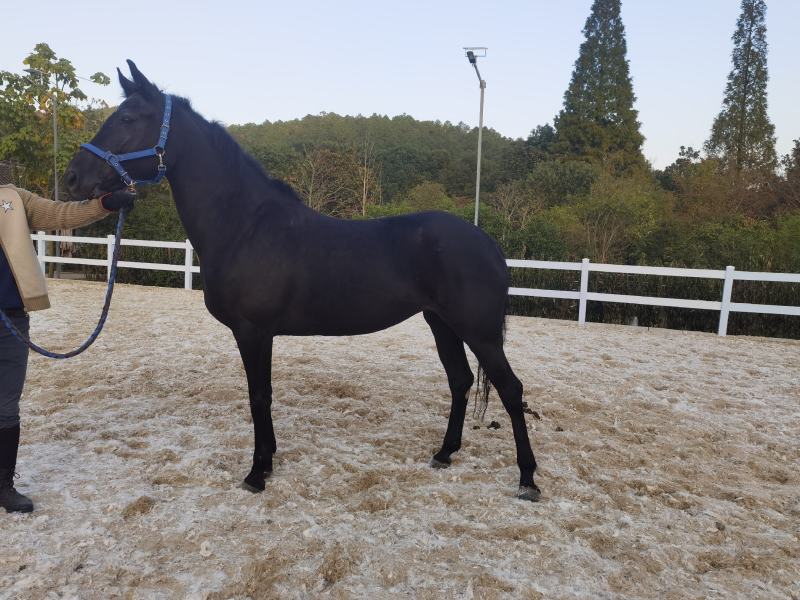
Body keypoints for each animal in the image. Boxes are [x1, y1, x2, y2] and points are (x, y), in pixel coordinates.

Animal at [64, 61, 540, 502]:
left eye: (128, 118)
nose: (73, 178)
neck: (245, 226)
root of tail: (488, 243)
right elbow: (263, 395)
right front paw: (269, 460)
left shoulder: (253, 332)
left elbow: (259, 396)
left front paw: (257, 472)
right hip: (441, 323)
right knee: (460, 381)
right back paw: (444, 454)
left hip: (479, 332)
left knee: (511, 389)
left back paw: (528, 480)